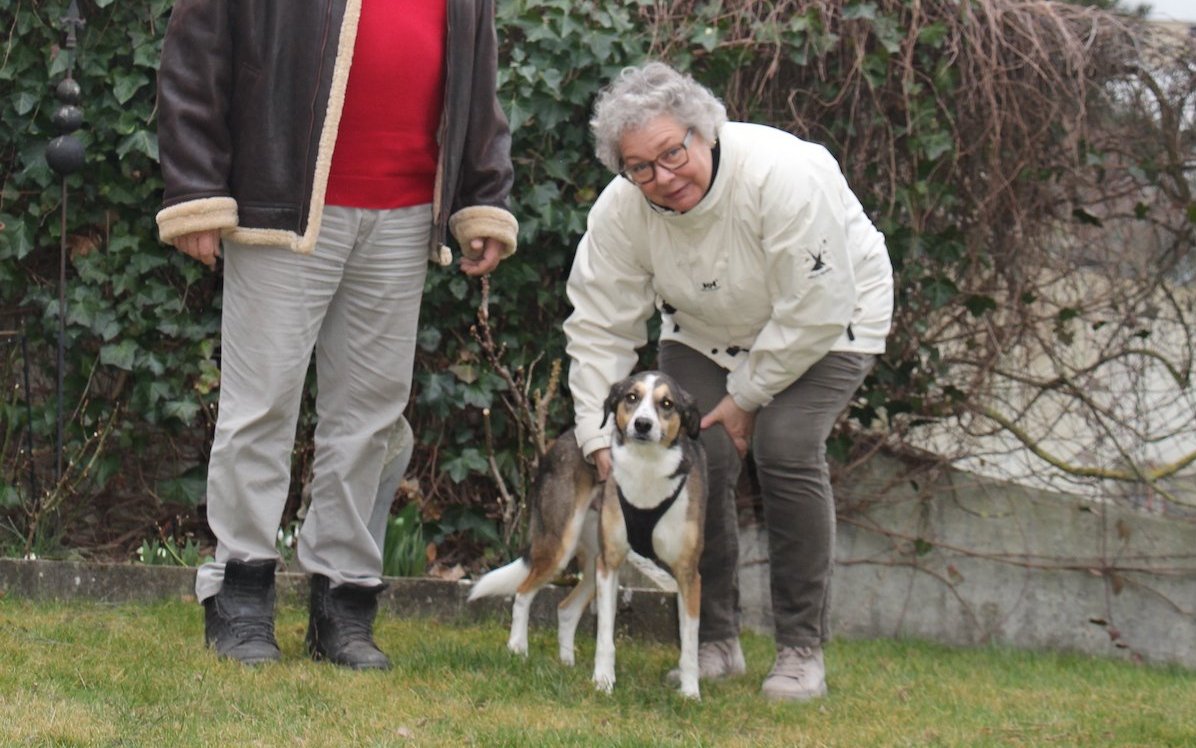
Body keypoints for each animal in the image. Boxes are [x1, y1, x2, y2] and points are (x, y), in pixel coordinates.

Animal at [466, 371, 708, 698]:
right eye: (632, 397)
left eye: (667, 404)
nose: (642, 424)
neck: (646, 467)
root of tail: (562, 439)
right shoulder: (611, 564)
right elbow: (605, 635)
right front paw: (603, 681)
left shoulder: (687, 574)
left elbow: (689, 644)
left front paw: (690, 692)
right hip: (562, 547)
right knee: (523, 592)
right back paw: (517, 648)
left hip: (595, 562)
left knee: (565, 609)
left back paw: (566, 662)